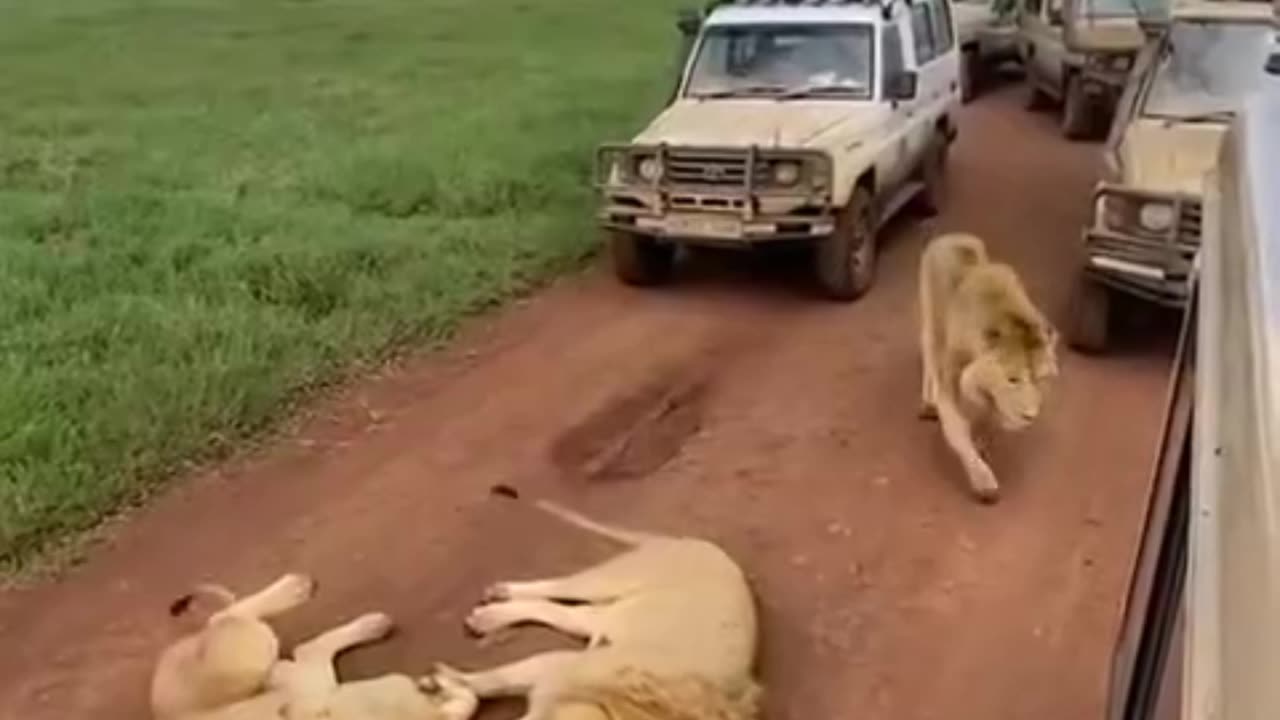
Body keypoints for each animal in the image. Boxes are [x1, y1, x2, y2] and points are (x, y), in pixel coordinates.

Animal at [149, 571, 478, 717]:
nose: (425, 687)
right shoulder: (309, 684)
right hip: (240, 661)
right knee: (227, 615)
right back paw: (296, 586)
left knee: (227, 615)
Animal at [437, 481, 757, 717]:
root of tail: (692, 542)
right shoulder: (562, 666)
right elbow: (495, 679)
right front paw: (452, 683)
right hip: (606, 582)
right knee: (558, 589)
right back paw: (499, 598)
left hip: (607, 616)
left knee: (558, 611)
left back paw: (489, 615)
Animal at [921, 233, 1059, 502]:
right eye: (1012, 379)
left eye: (1039, 379)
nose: (1029, 417)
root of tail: (952, 236)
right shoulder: (950, 378)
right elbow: (958, 431)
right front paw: (983, 480)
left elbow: (989, 419)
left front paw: (984, 439)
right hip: (931, 322)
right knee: (928, 355)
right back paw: (927, 401)